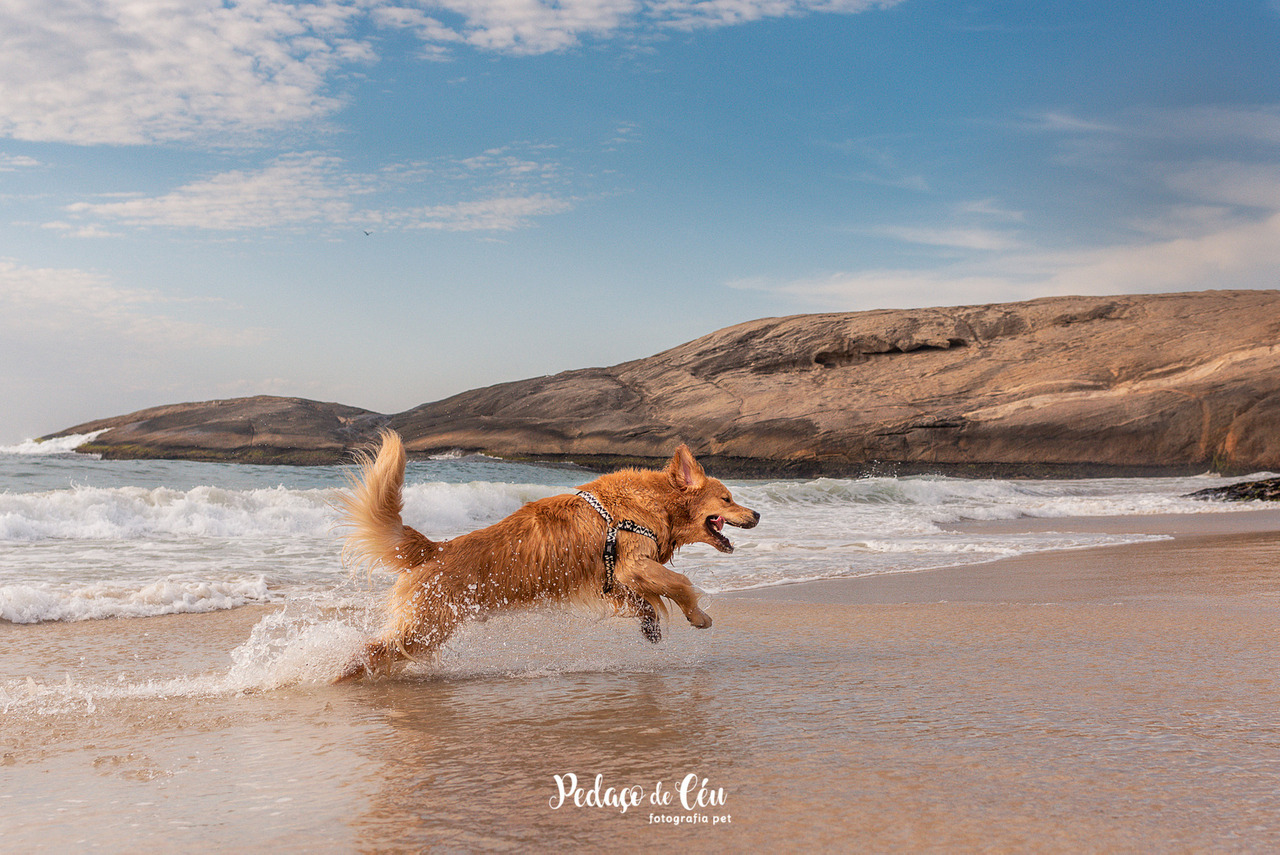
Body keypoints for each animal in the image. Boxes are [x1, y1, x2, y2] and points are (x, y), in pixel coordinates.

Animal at [332, 435, 757, 680]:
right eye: (727, 499)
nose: (755, 514)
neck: (657, 502)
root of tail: (433, 548)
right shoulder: (631, 563)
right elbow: (681, 583)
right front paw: (698, 616)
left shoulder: (612, 578)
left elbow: (643, 601)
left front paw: (650, 624)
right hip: (426, 626)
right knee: (372, 650)